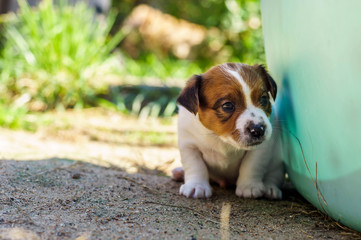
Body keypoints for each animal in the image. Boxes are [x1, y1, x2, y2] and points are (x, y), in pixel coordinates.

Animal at [173, 62, 282, 199]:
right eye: (227, 105)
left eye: (263, 99)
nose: (258, 129)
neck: (220, 138)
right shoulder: (189, 146)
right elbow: (195, 166)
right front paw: (196, 186)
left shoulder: (261, 149)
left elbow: (251, 165)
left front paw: (249, 187)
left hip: (277, 162)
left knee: (273, 175)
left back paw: (270, 188)